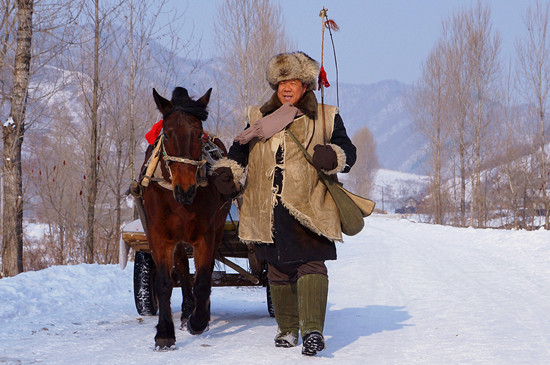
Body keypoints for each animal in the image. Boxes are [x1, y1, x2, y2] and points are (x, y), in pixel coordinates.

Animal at [142, 86, 231, 348]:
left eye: (198, 133)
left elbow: (202, 280)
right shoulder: (158, 235)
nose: (186, 189)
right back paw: (185, 310)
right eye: (167, 135)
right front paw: (164, 333)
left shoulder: (206, 235)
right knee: (181, 270)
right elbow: (164, 282)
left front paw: (198, 321)